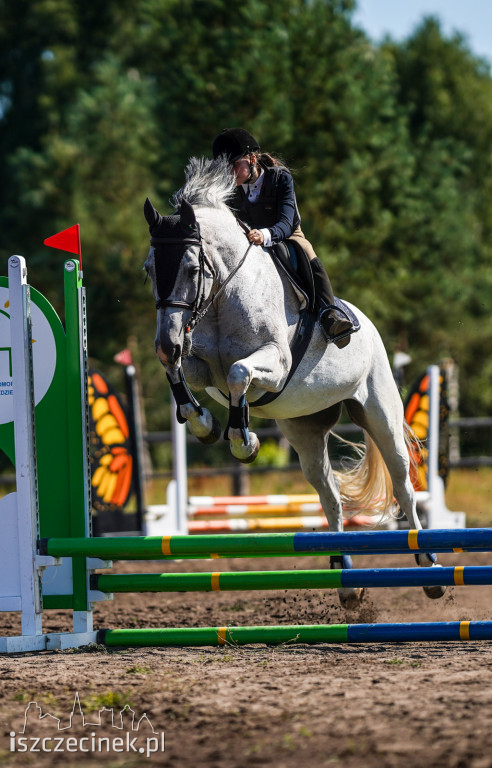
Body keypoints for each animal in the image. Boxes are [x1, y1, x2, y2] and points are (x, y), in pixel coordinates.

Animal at [143, 156, 446, 608]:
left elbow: (239, 374)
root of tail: (369, 324)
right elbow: (180, 374)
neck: (223, 298)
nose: (166, 342)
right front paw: (204, 424)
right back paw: (347, 581)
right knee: (330, 497)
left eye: (192, 268)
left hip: (380, 413)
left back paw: (430, 570)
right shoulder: (200, 366)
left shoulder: (275, 364)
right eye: (149, 269)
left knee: (403, 486)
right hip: (305, 432)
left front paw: (243, 441)